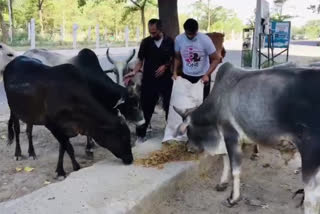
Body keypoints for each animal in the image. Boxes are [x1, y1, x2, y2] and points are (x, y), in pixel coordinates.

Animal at [3, 55, 132, 177]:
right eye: (122, 137)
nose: (130, 159)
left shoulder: (64, 128)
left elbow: (63, 148)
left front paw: (60, 170)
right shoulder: (53, 125)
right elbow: (68, 148)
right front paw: (75, 168)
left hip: (30, 113)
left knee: (29, 130)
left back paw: (31, 152)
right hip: (14, 109)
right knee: (17, 130)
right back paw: (18, 153)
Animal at [175, 62, 320, 214]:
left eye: (188, 130)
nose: (188, 148)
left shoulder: (231, 136)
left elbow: (235, 169)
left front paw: (233, 198)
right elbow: (226, 161)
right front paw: (222, 183)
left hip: (310, 154)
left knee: (312, 199)